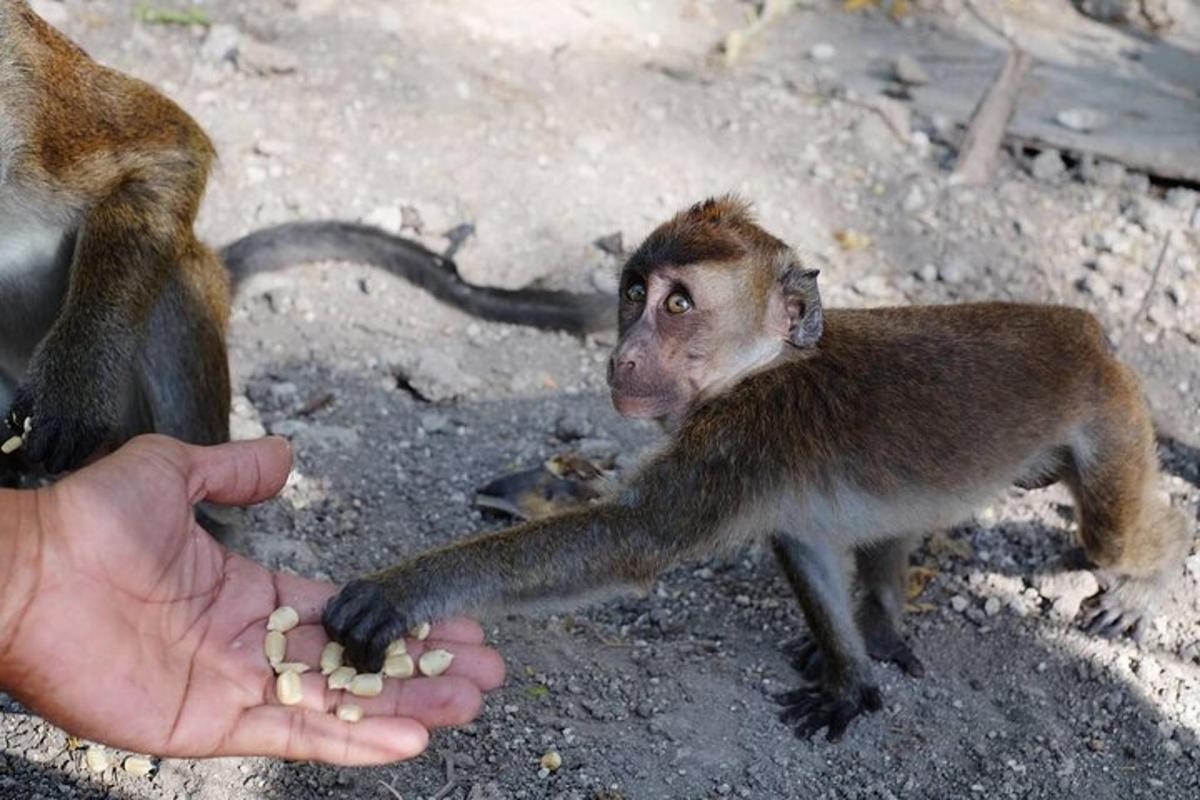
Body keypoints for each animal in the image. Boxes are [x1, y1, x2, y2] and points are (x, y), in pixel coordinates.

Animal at [324, 196, 1195, 743]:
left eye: (678, 305)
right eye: (633, 292)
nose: (623, 353)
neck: (757, 370)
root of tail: (1085, 329)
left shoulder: (743, 437)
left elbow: (633, 540)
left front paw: (400, 592)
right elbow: (802, 541)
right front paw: (850, 677)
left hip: (1110, 417)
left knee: (1117, 532)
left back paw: (1150, 572)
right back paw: (879, 614)